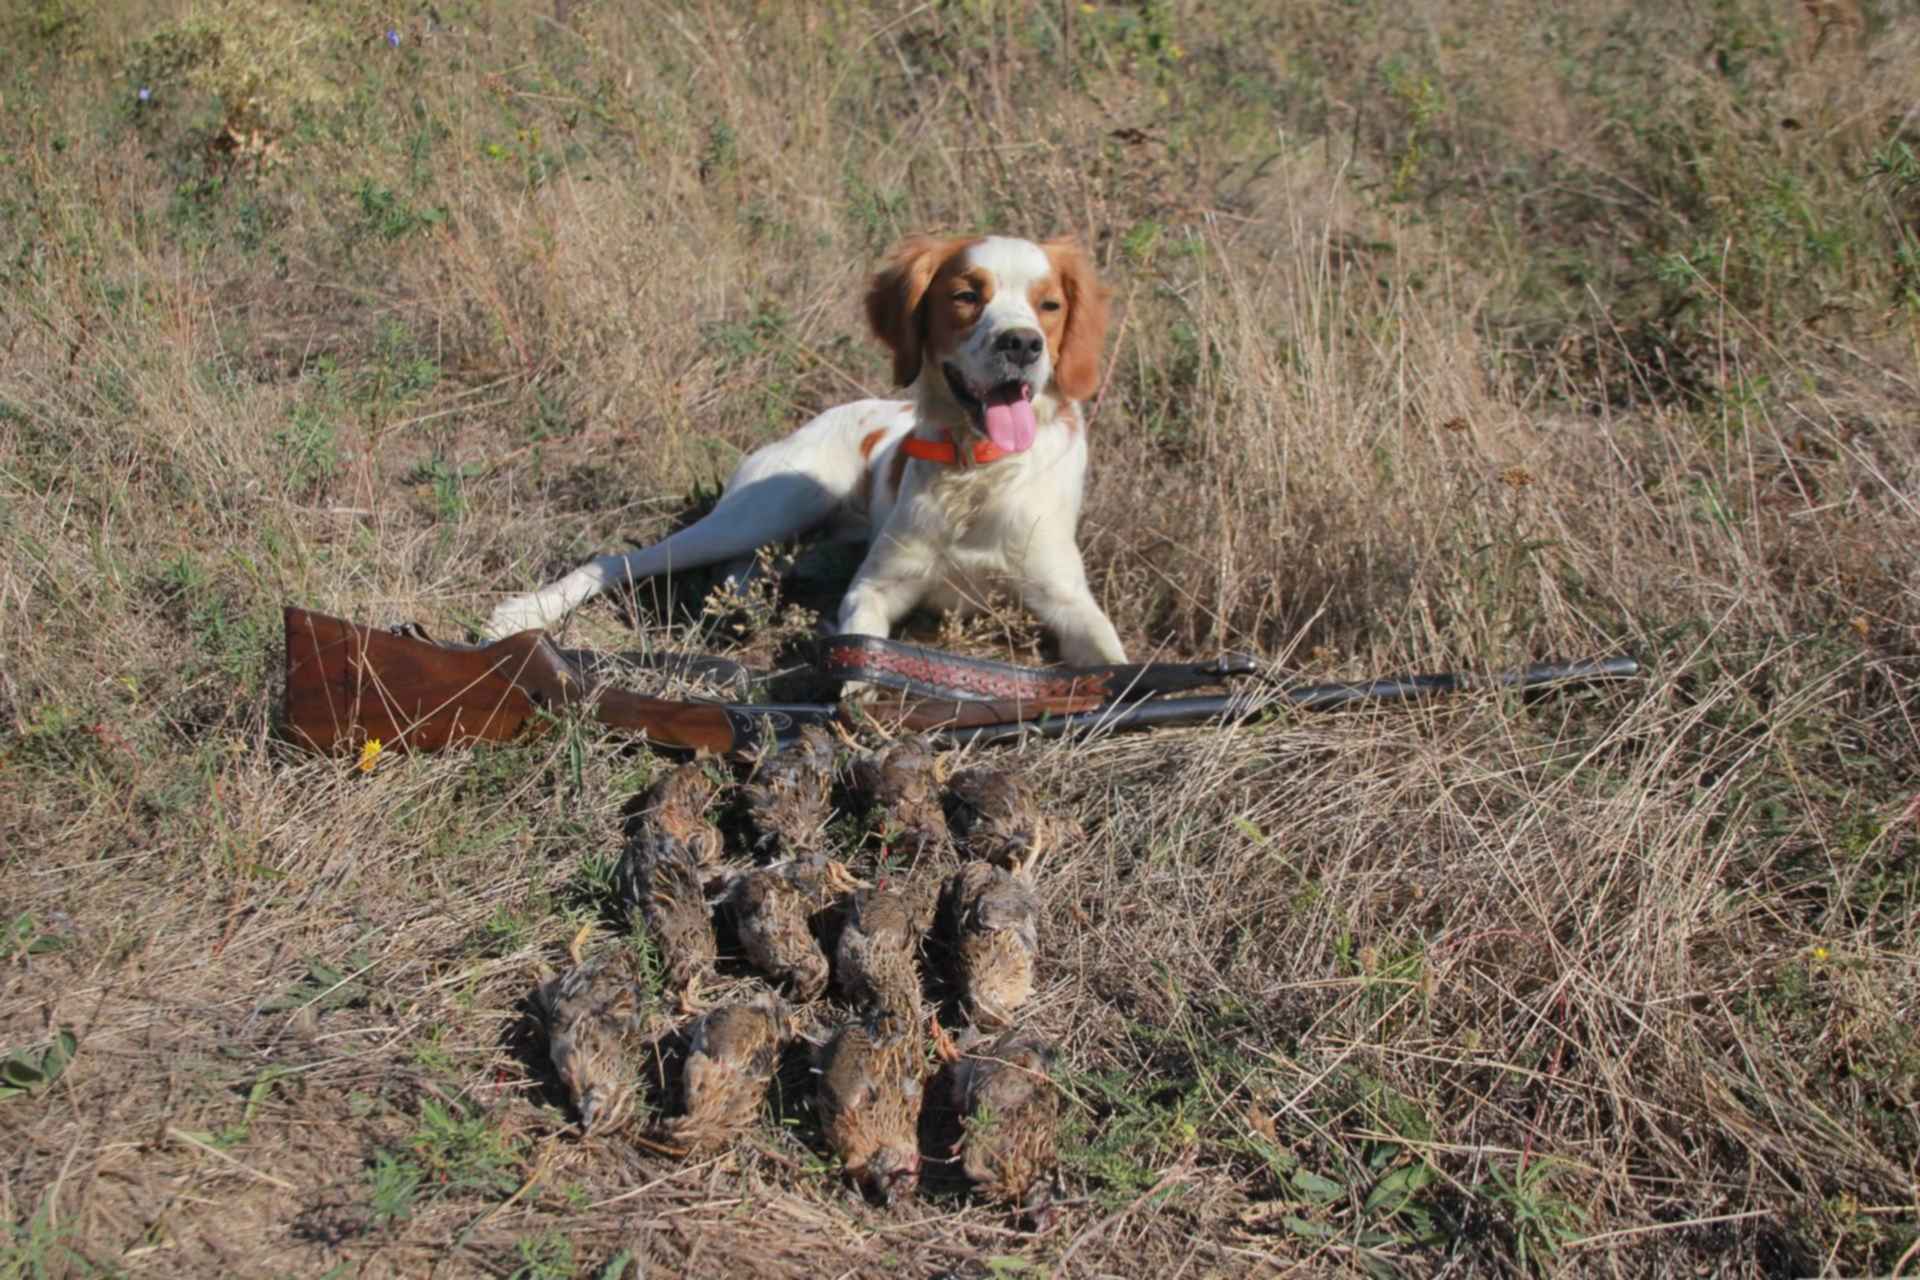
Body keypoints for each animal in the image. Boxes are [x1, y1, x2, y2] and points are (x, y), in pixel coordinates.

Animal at [480, 234, 1128, 667]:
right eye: (967, 295)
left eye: (1050, 305)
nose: (1022, 344)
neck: (978, 473)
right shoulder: (876, 587)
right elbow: (863, 649)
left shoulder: (1066, 599)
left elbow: (1116, 665)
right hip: (771, 505)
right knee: (625, 560)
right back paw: (525, 613)